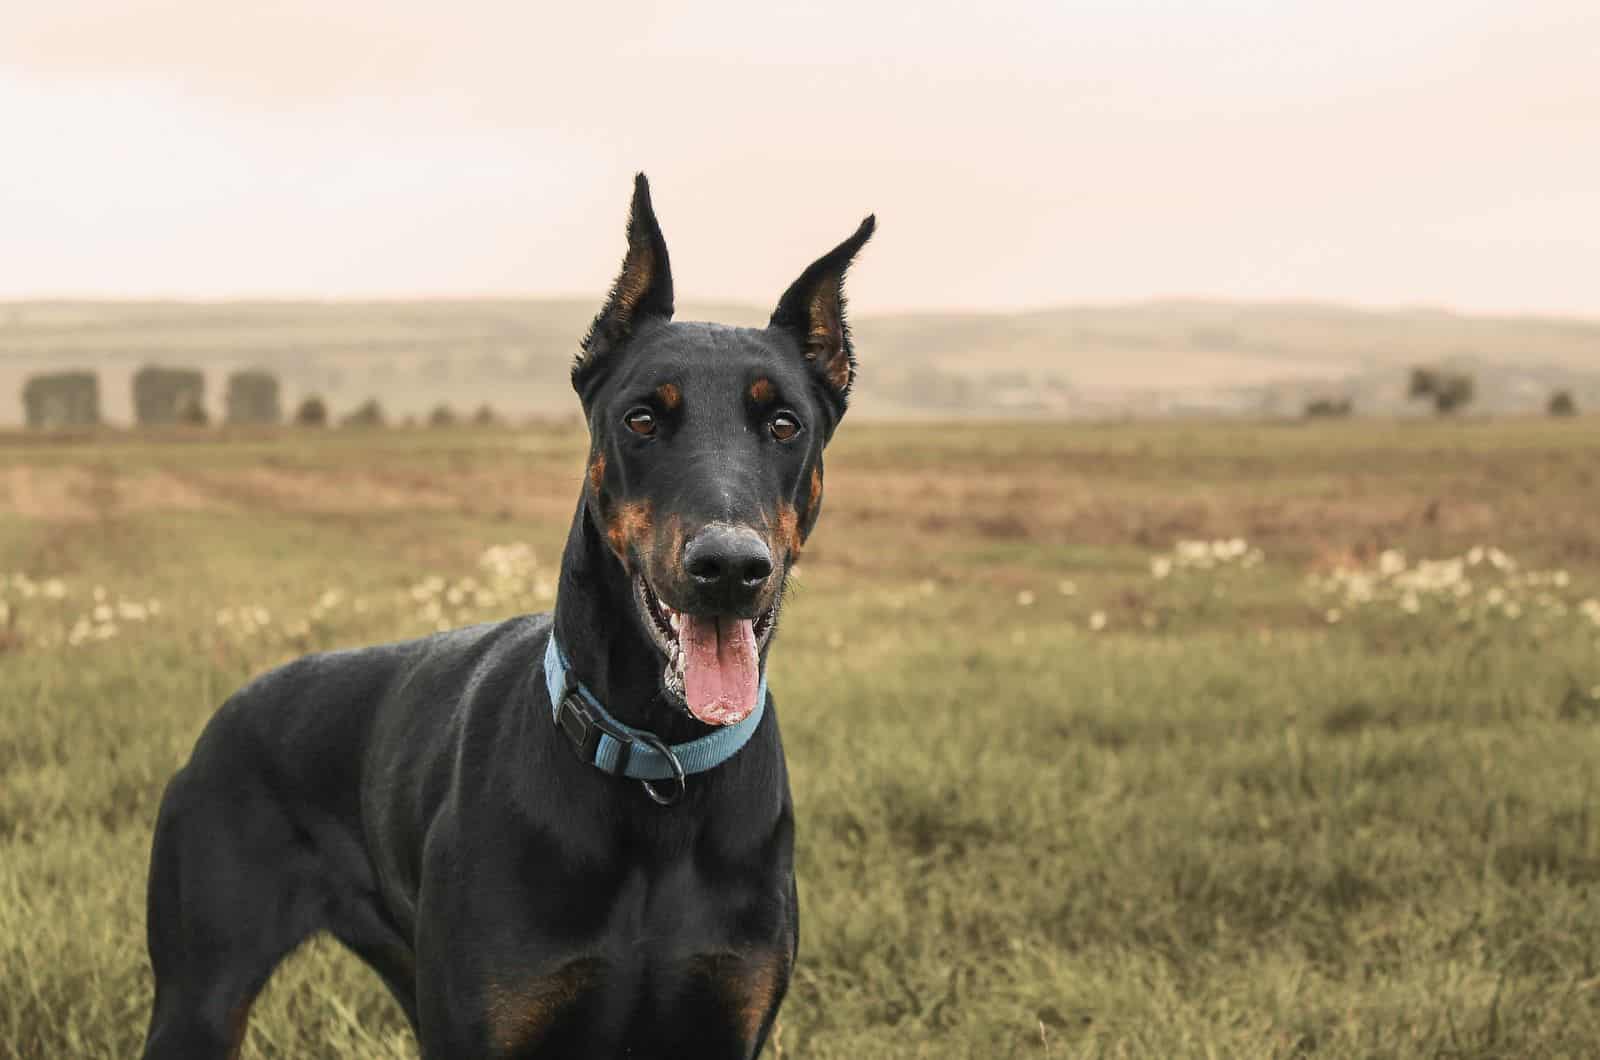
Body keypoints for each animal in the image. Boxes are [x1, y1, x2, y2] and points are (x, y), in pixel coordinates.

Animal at [140, 176, 876, 1060]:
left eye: (783, 423)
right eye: (641, 418)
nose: (729, 567)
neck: (657, 766)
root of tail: (228, 714)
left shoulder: (727, 1019)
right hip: (201, 996)